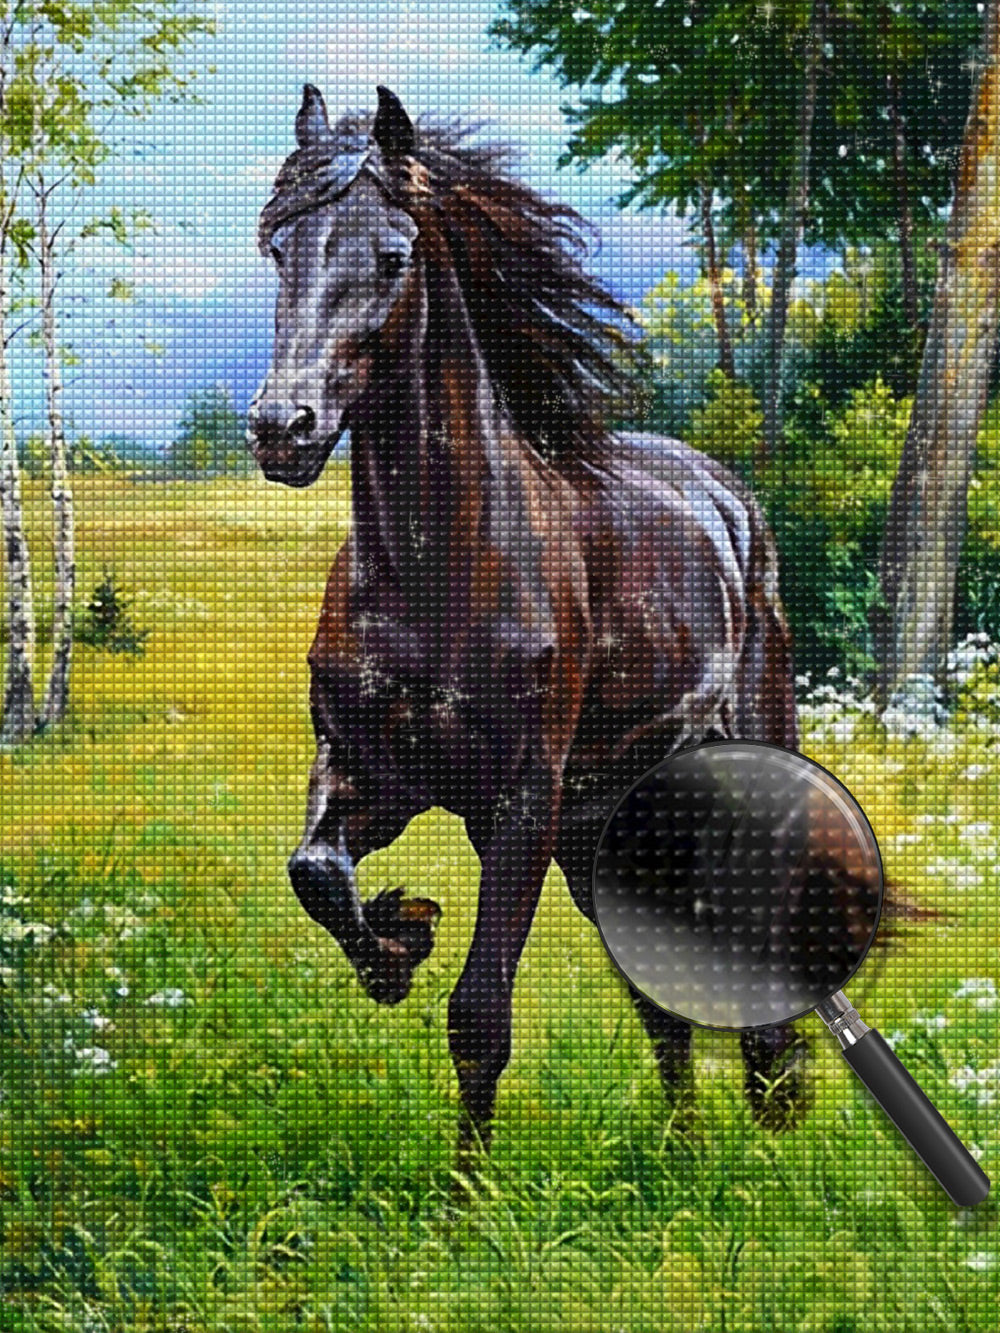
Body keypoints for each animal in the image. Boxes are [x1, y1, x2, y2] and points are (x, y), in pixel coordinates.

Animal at [246, 85, 803, 1165]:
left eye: (391, 256)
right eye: (278, 247)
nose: (280, 430)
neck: (436, 573)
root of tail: (728, 503)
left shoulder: (520, 804)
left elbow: (479, 1017)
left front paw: (466, 1195)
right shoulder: (372, 776)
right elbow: (315, 873)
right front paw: (400, 936)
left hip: (717, 770)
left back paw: (770, 1129)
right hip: (603, 831)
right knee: (658, 995)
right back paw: (687, 1147)